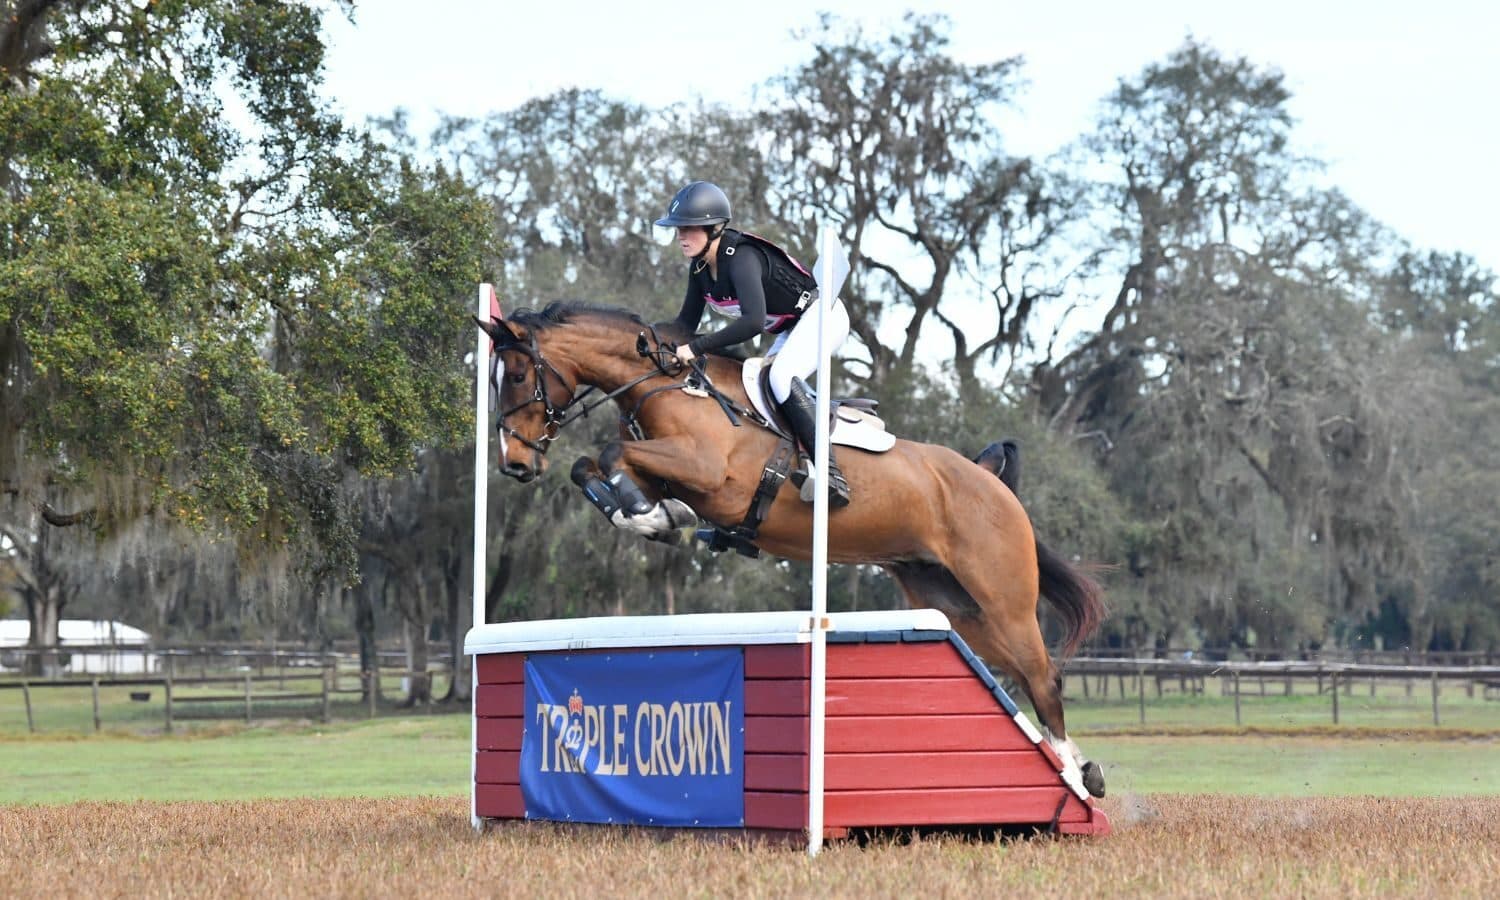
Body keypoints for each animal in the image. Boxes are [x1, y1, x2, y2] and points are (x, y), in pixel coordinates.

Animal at [476, 301, 1108, 798]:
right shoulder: (674, 471)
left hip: (1003, 599)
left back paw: (1078, 779)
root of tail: (991, 481)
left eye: (516, 375)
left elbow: (609, 453)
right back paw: (1079, 770)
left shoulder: (709, 474)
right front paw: (652, 517)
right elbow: (593, 465)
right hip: (955, 606)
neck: (669, 387)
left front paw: (649, 515)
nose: (515, 464)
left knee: (1044, 676)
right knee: (1024, 673)